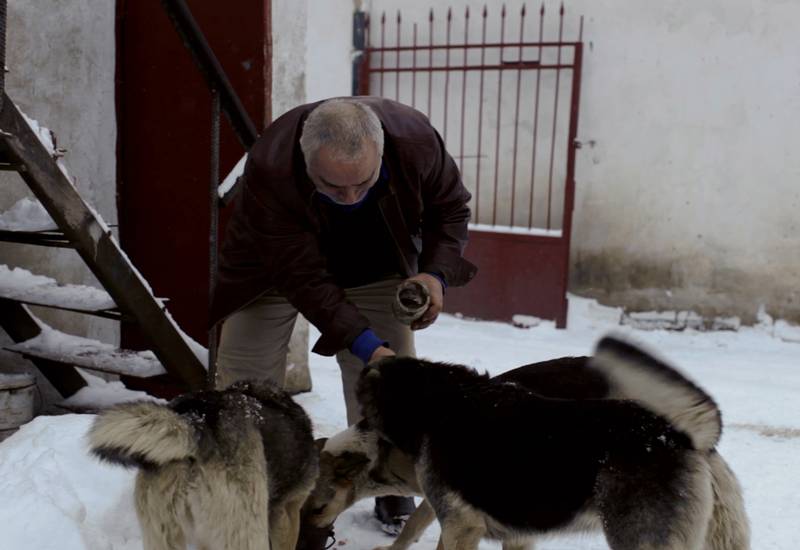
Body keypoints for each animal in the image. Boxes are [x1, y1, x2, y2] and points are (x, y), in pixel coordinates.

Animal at [304, 336, 752, 550]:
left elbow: (416, 525)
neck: (441, 397)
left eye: (317, 507)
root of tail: (677, 433)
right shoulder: (513, 534)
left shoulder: (458, 521)